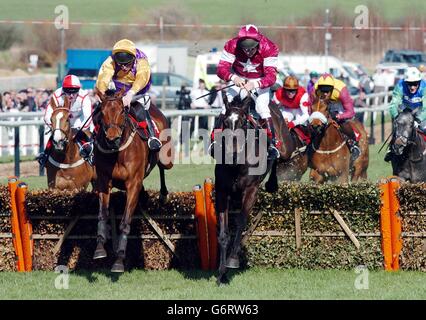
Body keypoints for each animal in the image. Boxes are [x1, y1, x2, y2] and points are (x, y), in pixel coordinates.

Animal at [93, 90, 173, 272]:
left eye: (122, 111)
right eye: (101, 113)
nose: (112, 138)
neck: (117, 152)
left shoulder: (133, 184)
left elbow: (125, 222)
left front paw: (119, 259)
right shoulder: (103, 181)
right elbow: (102, 214)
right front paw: (100, 247)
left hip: (166, 158)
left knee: (162, 167)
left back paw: (163, 194)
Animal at [213, 94, 272, 282]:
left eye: (242, 122)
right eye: (224, 121)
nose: (231, 152)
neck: (237, 165)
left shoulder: (251, 189)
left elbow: (240, 222)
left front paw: (232, 259)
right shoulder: (222, 190)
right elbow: (224, 232)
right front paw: (222, 273)